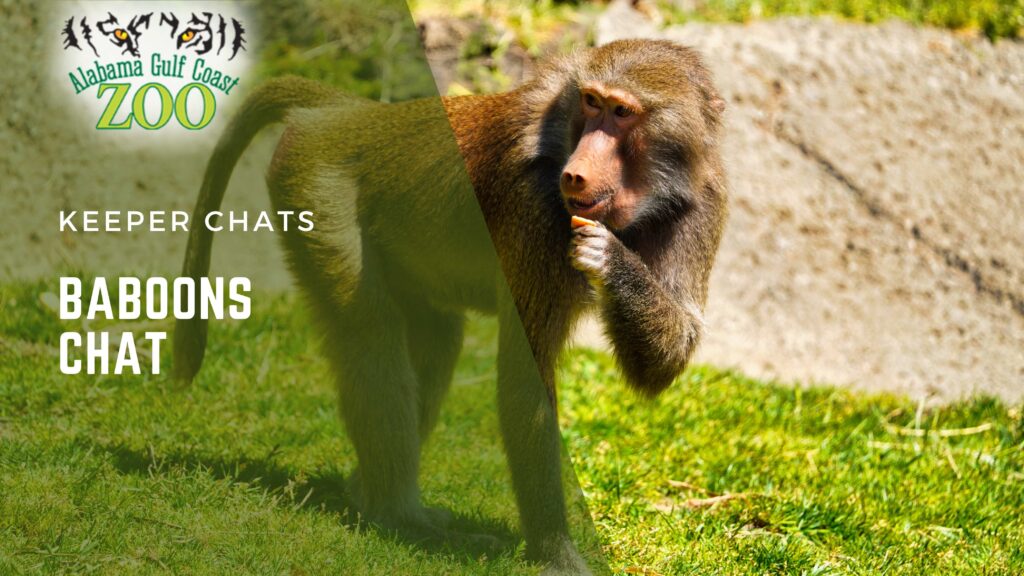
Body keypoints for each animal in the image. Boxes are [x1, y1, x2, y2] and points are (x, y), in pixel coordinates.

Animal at [173, 39, 726, 575]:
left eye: (622, 112)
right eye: (591, 103)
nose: (574, 175)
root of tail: (354, 114)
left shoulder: (704, 203)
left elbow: (666, 360)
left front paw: (612, 261)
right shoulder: (534, 208)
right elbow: (525, 382)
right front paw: (558, 556)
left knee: (436, 339)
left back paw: (372, 495)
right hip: (316, 189)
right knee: (370, 335)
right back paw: (398, 515)